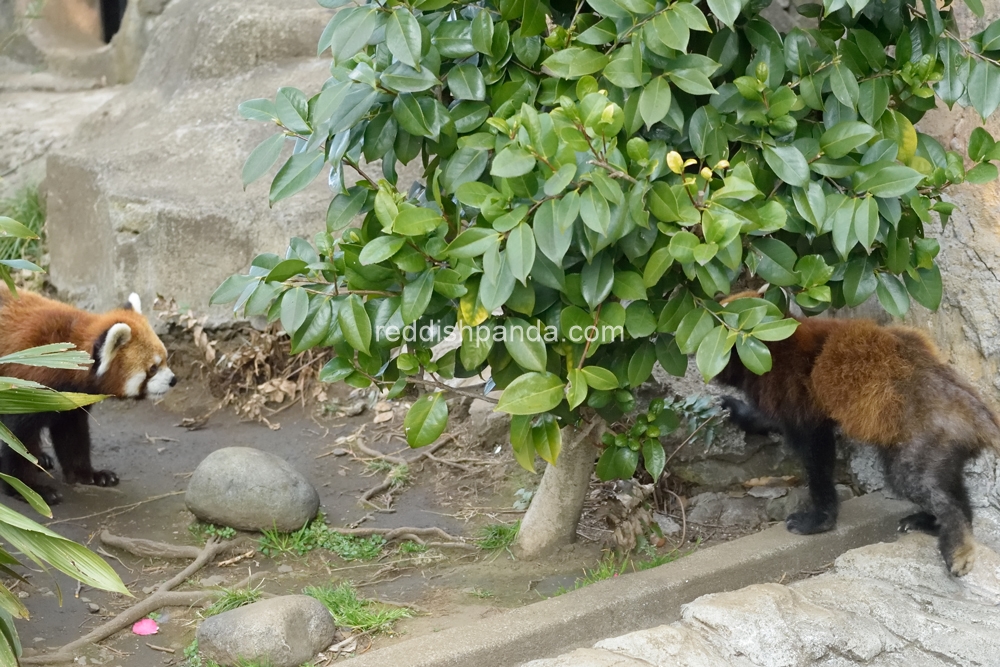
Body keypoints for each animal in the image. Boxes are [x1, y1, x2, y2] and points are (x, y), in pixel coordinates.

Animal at [0, 288, 176, 506]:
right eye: (152, 368)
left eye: (165, 360)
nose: (173, 380)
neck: (64, 359)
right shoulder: (27, 384)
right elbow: (17, 439)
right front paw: (28, 488)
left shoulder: (70, 400)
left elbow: (73, 436)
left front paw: (90, 475)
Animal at [716, 294, 996, 576]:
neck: (770, 346)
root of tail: (974, 409)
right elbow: (769, 419)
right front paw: (738, 411)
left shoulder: (799, 401)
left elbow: (817, 462)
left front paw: (819, 519)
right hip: (944, 450)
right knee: (952, 489)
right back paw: (933, 523)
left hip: (922, 443)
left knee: (923, 487)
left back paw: (958, 546)